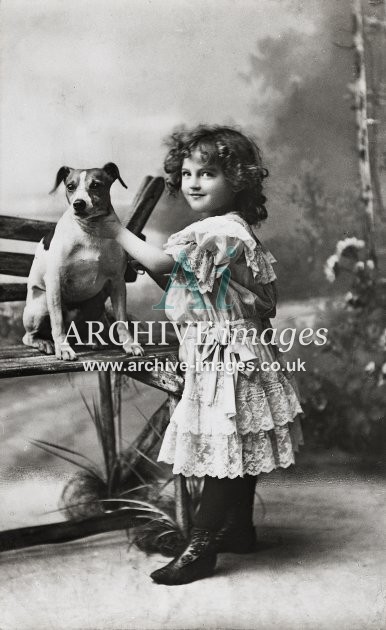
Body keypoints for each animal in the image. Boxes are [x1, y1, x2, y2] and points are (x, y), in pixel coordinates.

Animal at [23, 163, 143, 360]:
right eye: (70, 186)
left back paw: (91, 340)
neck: (90, 232)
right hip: (41, 305)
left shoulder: (118, 282)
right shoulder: (54, 282)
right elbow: (58, 323)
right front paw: (63, 349)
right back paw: (45, 343)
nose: (78, 204)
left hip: (96, 302)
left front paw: (130, 344)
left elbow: (122, 321)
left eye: (95, 185)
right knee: (29, 336)